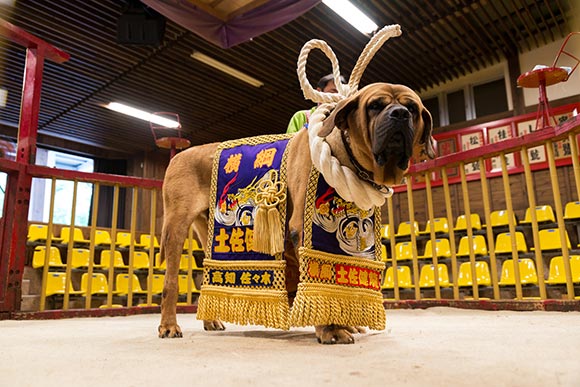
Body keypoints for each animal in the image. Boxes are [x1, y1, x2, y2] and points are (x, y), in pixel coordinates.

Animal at [156, 83, 432, 344]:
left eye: (413, 108)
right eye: (375, 105)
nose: (400, 114)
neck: (344, 155)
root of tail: (178, 156)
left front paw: (343, 323)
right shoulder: (304, 229)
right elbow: (315, 279)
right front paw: (331, 329)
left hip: (208, 231)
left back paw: (210, 320)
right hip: (175, 227)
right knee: (170, 281)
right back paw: (169, 325)